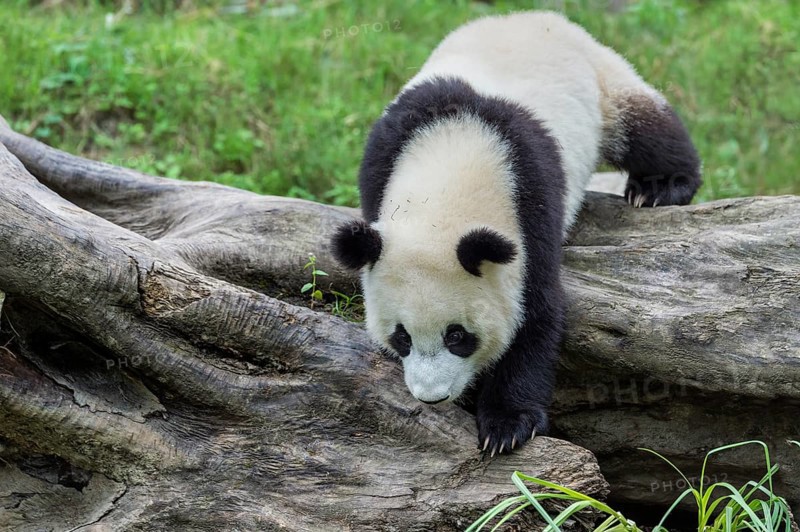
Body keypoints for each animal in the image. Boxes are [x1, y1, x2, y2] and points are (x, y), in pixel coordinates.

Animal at [331, 11, 701, 455]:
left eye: (458, 336)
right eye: (401, 337)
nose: (432, 397)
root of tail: (531, 16)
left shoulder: (530, 198)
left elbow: (536, 310)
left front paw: (507, 424)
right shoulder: (383, 159)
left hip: (601, 79)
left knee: (646, 126)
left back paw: (661, 186)